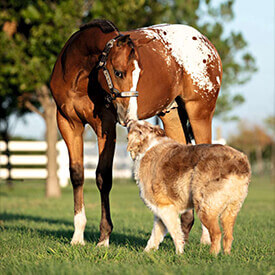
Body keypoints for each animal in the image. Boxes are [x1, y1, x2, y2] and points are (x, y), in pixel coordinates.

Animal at [50, 18, 222, 248]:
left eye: (139, 73)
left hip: (199, 114)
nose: (128, 114)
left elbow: (103, 177)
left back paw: (205, 238)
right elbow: (77, 175)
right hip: (172, 116)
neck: (78, 75)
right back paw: (181, 232)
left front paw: (104, 237)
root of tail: (206, 43)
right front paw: (78, 236)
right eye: (119, 72)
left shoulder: (105, 126)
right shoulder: (68, 123)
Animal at [127, 121, 252, 256]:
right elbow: (155, 235)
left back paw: (211, 255)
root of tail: (240, 160)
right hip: (231, 209)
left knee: (217, 233)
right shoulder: (160, 212)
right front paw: (146, 253)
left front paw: (179, 254)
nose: (129, 121)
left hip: (204, 206)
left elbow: (176, 233)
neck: (148, 145)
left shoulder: (165, 207)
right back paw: (226, 255)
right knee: (228, 235)